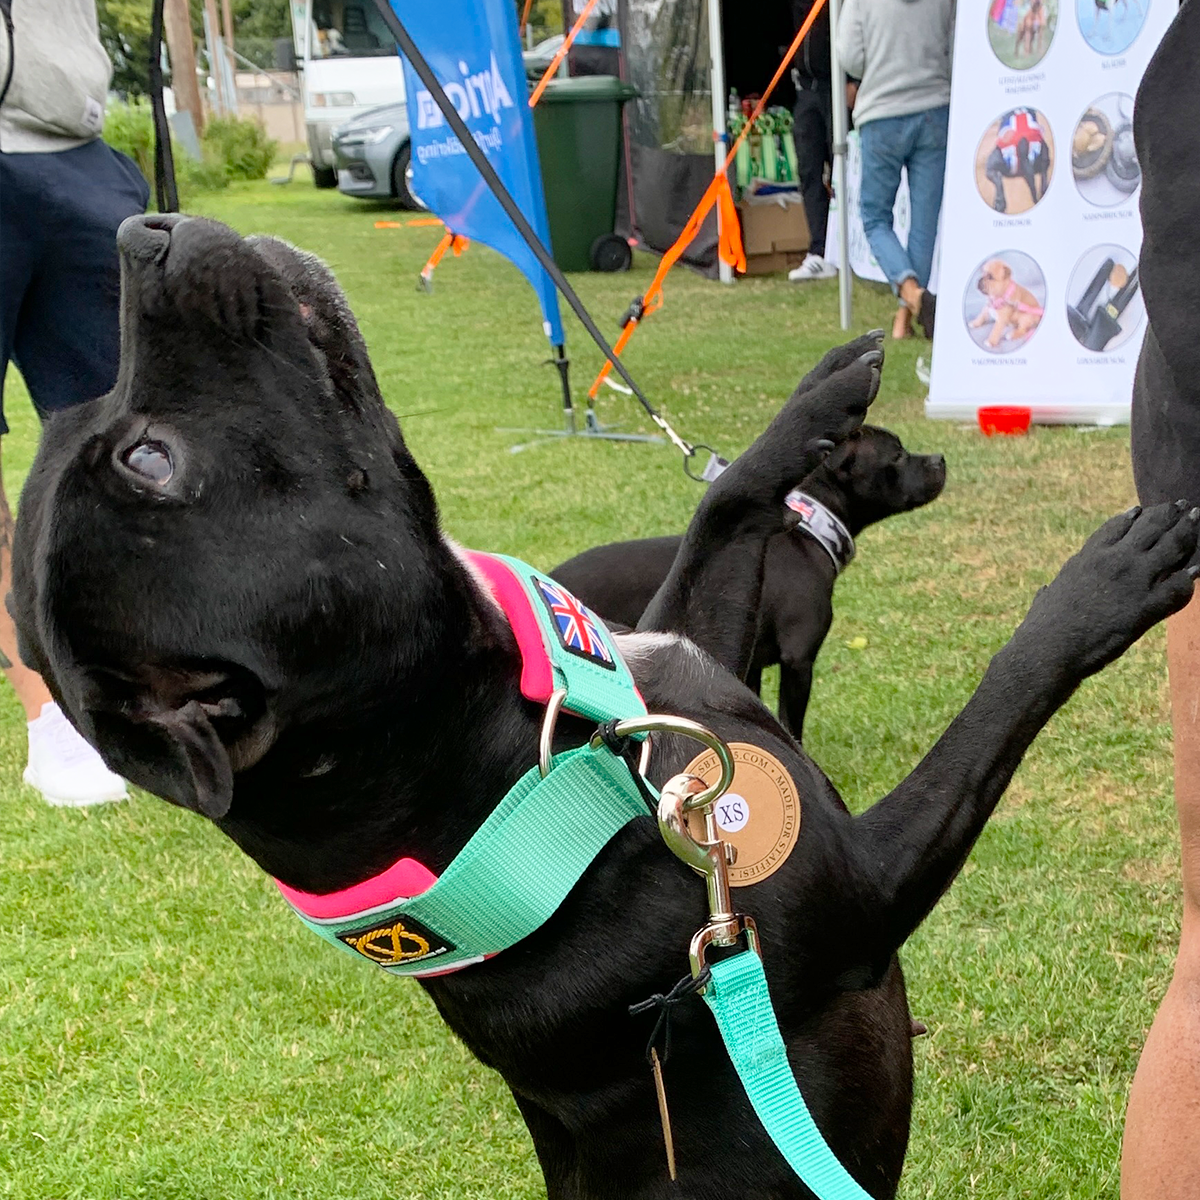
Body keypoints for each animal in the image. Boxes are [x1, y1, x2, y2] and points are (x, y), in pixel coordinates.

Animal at [552, 427, 945, 734]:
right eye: (897, 455)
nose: (940, 459)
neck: (811, 531)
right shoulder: (798, 661)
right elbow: (791, 725)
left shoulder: (749, 663)